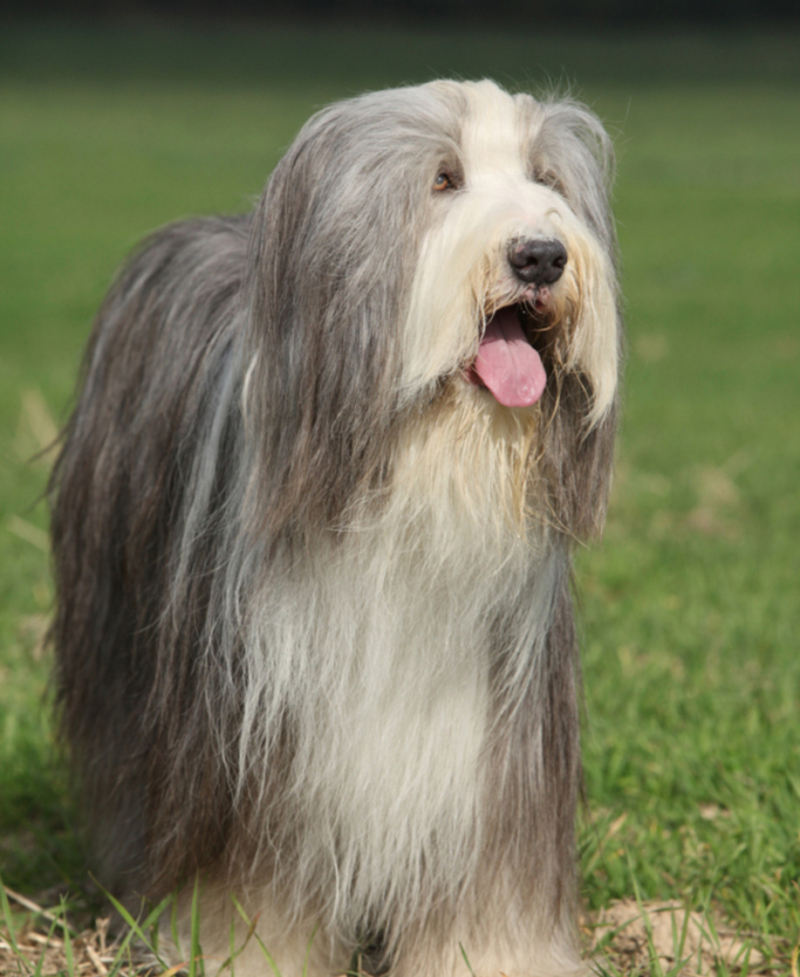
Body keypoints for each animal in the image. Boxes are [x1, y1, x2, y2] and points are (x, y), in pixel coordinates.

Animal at [50, 78, 620, 976]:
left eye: (546, 178)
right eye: (443, 179)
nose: (540, 255)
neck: (420, 473)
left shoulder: (492, 743)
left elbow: (487, 874)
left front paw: (496, 955)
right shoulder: (255, 730)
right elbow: (253, 881)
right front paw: (244, 952)